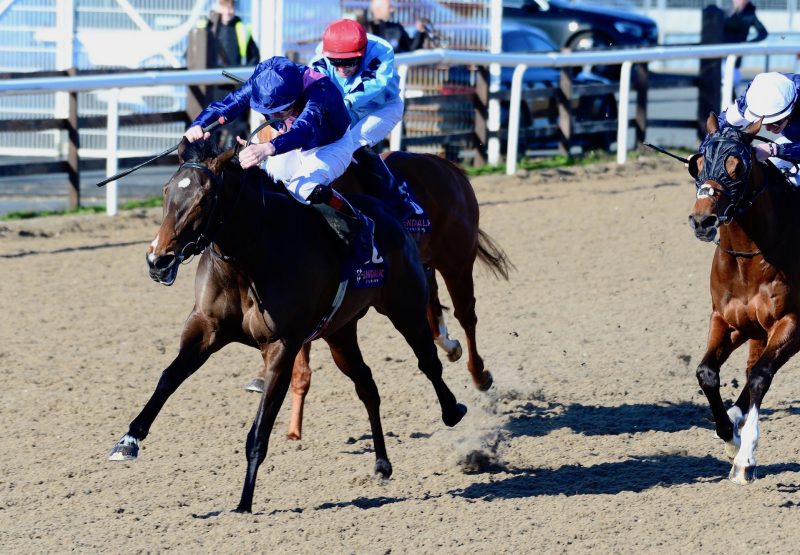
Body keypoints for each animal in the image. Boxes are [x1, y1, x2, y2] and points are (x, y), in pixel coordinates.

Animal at [107, 138, 468, 512]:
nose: (157, 259)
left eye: (204, 198)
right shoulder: (205, 328)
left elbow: (260, 429)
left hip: (404, 307)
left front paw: (244, 504)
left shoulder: (281, 346)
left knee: (428, 360)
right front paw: (129, 440)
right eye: (166, 191)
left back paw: (452, 409)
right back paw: (382, 463)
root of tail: (388, 213)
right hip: (340, 333)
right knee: (367, 384)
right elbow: (168, 378)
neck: (252, 257)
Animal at [244, 150, 512, 440]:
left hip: (457, 261)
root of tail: (446, 164)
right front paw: (291, 423)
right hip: (421, 261)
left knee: (466, 315)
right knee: (431, 296)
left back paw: (479, 374)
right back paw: (448, 344)